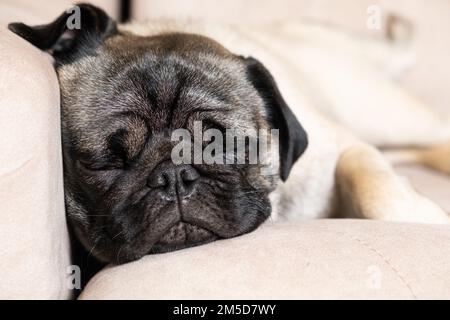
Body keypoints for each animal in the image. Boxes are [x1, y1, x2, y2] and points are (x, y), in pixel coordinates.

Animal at [8, 3, 450, 266]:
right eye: (104, 163)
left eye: (222, 146)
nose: (173, 176)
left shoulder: (345, 147)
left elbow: (375, 189)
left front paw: (423, 219)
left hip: (385, 113)